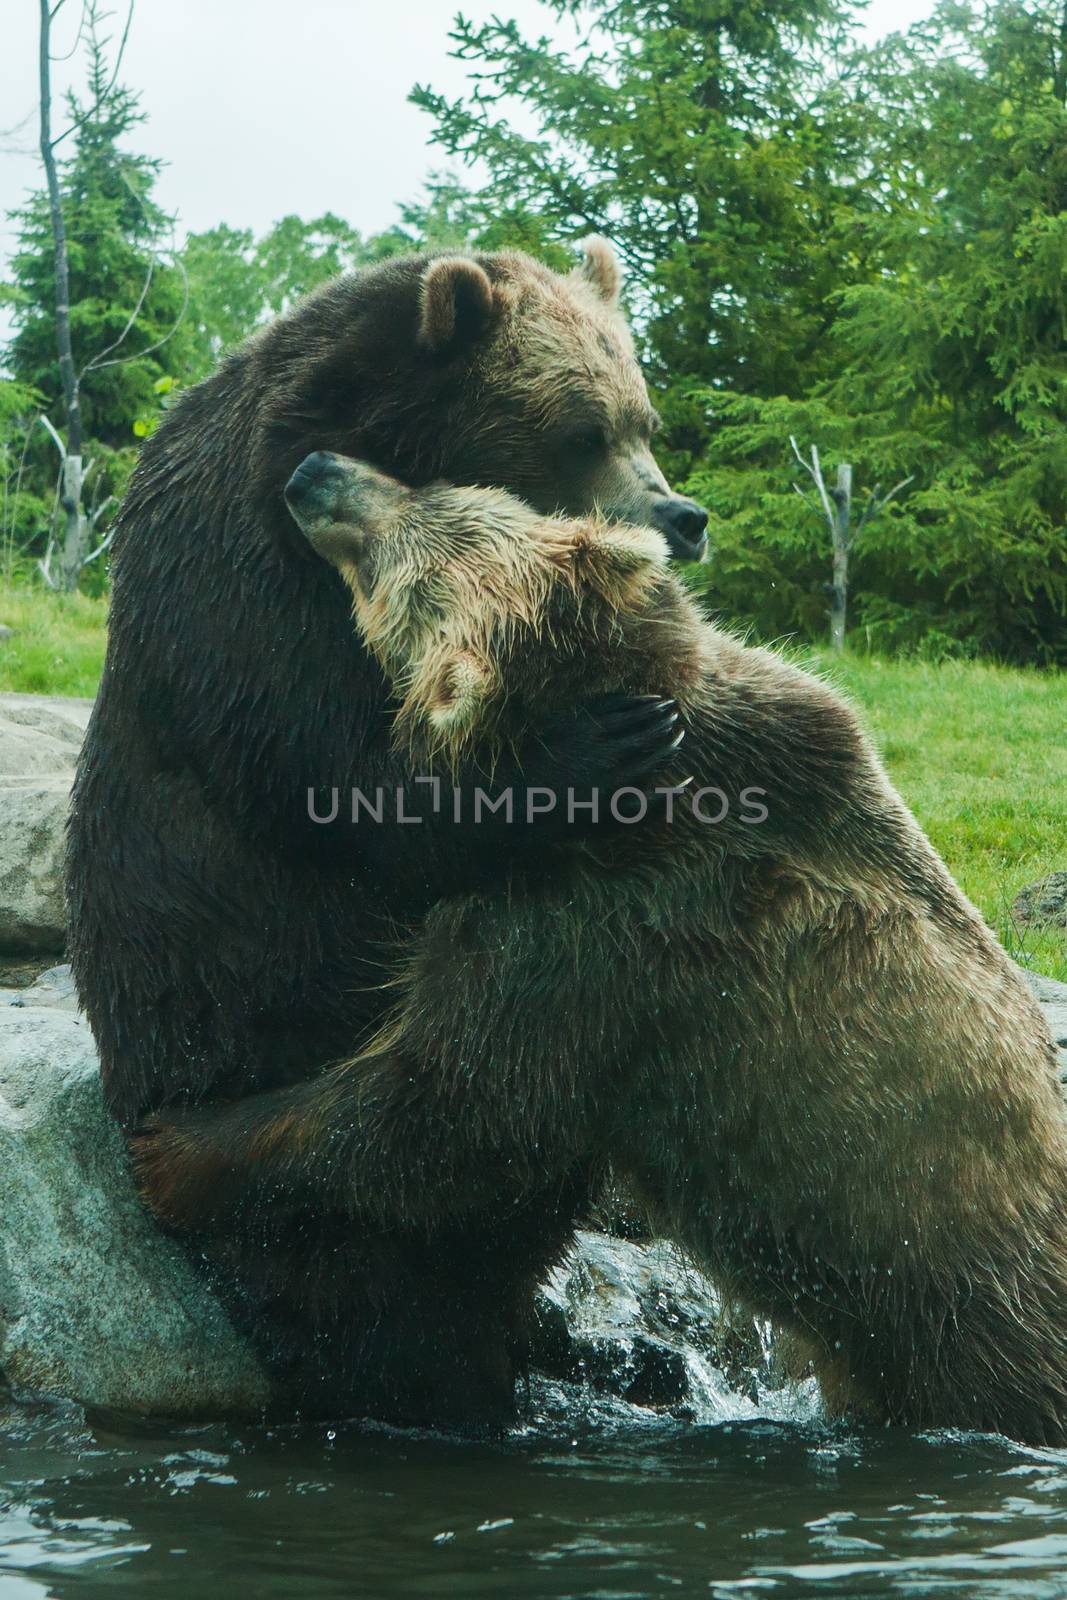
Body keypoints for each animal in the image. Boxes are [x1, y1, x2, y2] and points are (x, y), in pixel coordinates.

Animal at [62, 240, 703, 1427]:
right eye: (582, 430)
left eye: (644, 415)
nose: (681, 515)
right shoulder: (251, 594)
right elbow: (345, 783)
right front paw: (600, 741)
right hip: (244, 1033)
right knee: (354, 1244)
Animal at [141, 457, 1067, 1446]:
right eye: (443, 491)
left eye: (388, 571)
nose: (317, 474)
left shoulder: (605, 933)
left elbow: (453, 1112)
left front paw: (179, 1144)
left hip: (964, 1308)